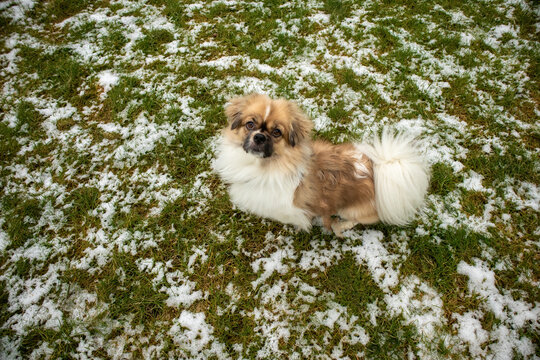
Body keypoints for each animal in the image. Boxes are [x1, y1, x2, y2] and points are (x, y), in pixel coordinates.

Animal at [213, 94, 428, 238]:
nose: (259, 136)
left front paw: (300, 227)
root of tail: (377, 169)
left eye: (276, 132)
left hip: (351, 210)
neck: (264, 165)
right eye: (250, 124)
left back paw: (340, 226)